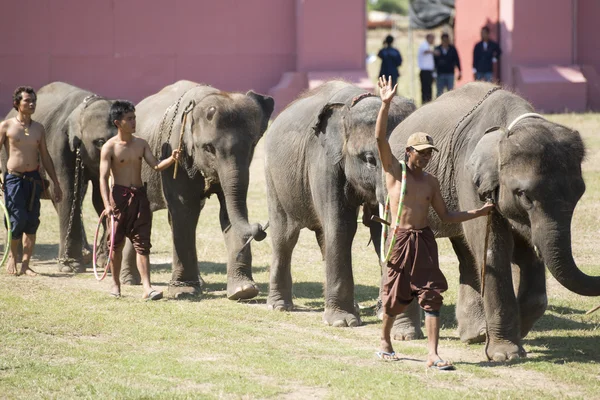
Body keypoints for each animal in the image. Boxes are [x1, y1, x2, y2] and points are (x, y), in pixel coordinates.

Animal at [3, 81, 116, 272]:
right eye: (100, 142)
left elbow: (99, 198)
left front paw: (104, 261)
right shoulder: (58, 145)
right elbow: (67, 193)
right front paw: (70, 266)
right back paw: (16, 260)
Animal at [118, 81, 274, 298]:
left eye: (253, 145)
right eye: (208, 148)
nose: (260, 229)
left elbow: (228, 210)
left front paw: (243, 291)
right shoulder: (174, 152)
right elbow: (184, 210)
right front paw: (184, 291)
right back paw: (129, 280)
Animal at [264, 81, 414, 328]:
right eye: (370, 159)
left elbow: (378, 231)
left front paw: (381, 313)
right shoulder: (324, 160)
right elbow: (340, 225)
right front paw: (342, 322)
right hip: (274, 178)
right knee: (284, 235)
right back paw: (279, 306)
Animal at [384, 83, 596, 360]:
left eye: (580, 193)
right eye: (524, 194)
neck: (508, 129)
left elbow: (525, 253)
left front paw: (516, 334)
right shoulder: (469, 177)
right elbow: (494, 249)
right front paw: (506, 354)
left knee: (466, 251)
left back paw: (475, 334)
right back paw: (406, 334)